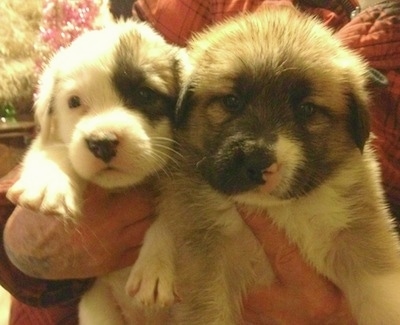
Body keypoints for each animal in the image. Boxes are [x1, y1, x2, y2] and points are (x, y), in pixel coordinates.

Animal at [7, 20, 183, 322]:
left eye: (144, 94)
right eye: (74, 102)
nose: (102, 143)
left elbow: (175, 212)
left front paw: (155, 266)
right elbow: (54, 151)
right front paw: (49, 183)